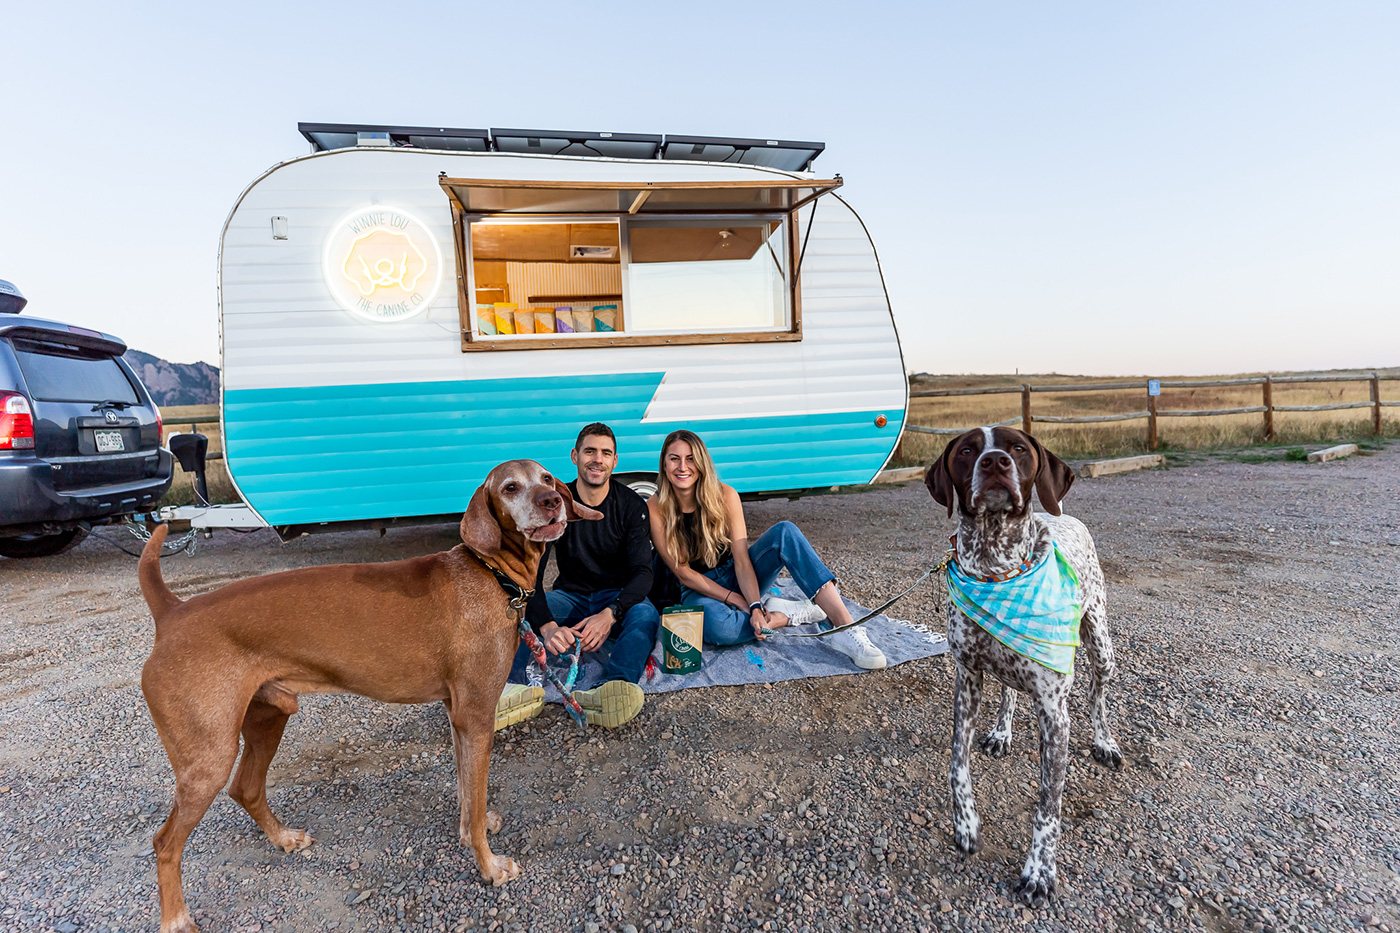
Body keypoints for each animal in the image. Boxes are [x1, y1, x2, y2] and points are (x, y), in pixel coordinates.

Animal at [131, 459, 590, 930]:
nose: (551, 501)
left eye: (547, 478)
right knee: (165, 841)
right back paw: (176, 919)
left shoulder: (458, 715)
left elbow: (467, 794)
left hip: (267, 719)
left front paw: (468, 835)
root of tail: (172, 613)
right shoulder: (477, 716)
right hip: (209, 757)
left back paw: (283, 838)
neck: (491, 573)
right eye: (510, 487)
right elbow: (476, 802)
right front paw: (490, 867)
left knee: (246, 789)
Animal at [924, 425, 1120, 902]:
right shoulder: (967, 678)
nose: (995, 462)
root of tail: (1065, 516)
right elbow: (956, 763)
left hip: (1100, 644)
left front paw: (1039, 871)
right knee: (1009, 694)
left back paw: (1105, 742)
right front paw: (966, 822)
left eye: (1017, 447)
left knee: (1098, 695)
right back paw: (1001, 732)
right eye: (966, 449)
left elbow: (1048, 807)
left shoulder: (1054, 712)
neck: (995, 565)